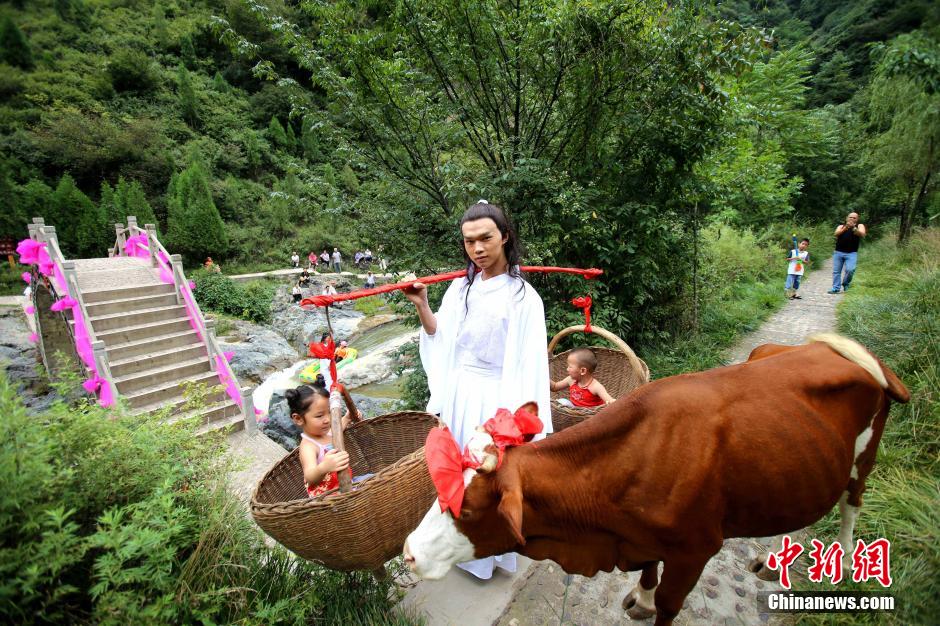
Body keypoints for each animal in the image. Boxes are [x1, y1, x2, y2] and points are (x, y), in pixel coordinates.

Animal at [404, 334, 912, 624]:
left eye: (469, 509)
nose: (408, 553)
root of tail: (837, 348)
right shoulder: (641, 536)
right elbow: (649, 569)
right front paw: (642, 598)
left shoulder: (695, 549)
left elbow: (670, 605)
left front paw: (654, 605)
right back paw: (774, 560)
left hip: (864, 455)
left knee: (851, 502)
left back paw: (845, 564)